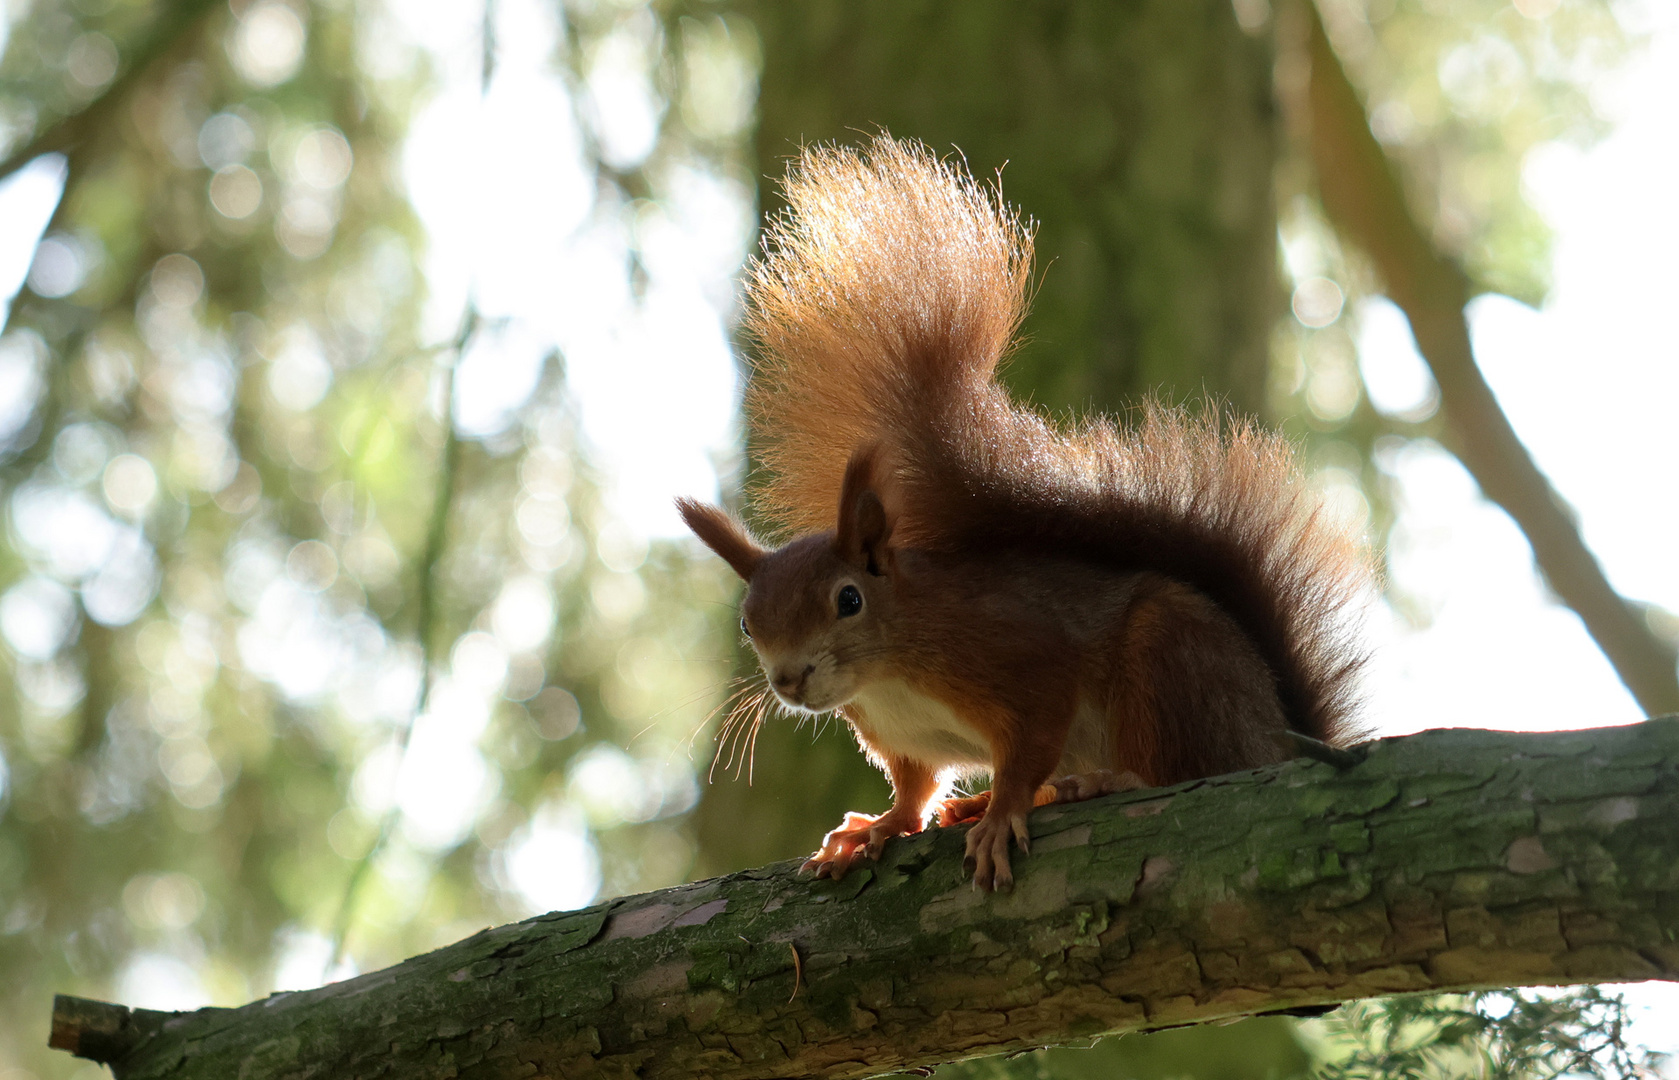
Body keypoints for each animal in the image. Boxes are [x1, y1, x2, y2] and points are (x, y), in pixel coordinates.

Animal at [674, 135, 1370, 893]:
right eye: (748, 623)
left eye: (849, 599)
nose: (788, 680)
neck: (888, 674)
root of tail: (1276, 734)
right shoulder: (901, 741)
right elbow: (914, 789)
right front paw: (877, 828)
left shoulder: (1019, 659)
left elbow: (1031, 738)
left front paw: (1004, 808)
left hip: (1171, 664)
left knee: (1177, 767)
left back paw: (1096, 783)